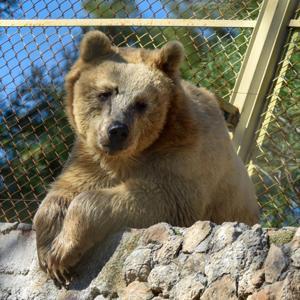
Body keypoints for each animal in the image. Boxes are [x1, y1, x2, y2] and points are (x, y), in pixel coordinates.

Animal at [32, 30, 258, 286]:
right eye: (105, 93)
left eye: (141, 103)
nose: (117, 130)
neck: (133, 154)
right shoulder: (89, 158)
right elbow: (65, 190)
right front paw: (48, 250)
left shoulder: (183, 156)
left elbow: (159, 198)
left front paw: (63, 251)